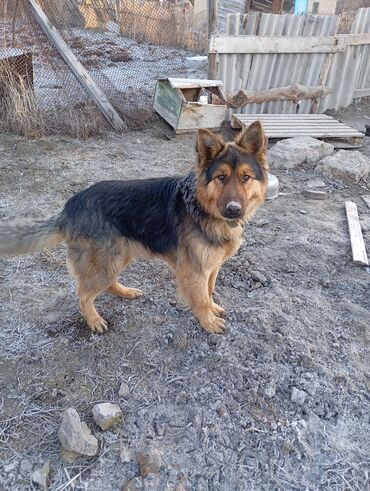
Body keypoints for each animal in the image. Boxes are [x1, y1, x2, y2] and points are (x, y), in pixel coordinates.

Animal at [0, 122, 268, 336]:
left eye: (245, 178)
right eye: (221, 177)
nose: (234, 210)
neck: (202, 207)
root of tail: (71, 205)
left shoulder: (211, 267)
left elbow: (210, 291)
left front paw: (213, 310)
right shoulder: (195, 270)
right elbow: (201, 298)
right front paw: (208, 321)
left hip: (119, 255)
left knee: (106, 284)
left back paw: (125, 292)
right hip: (108, 260)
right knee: (83, 292)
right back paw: (94, 320)